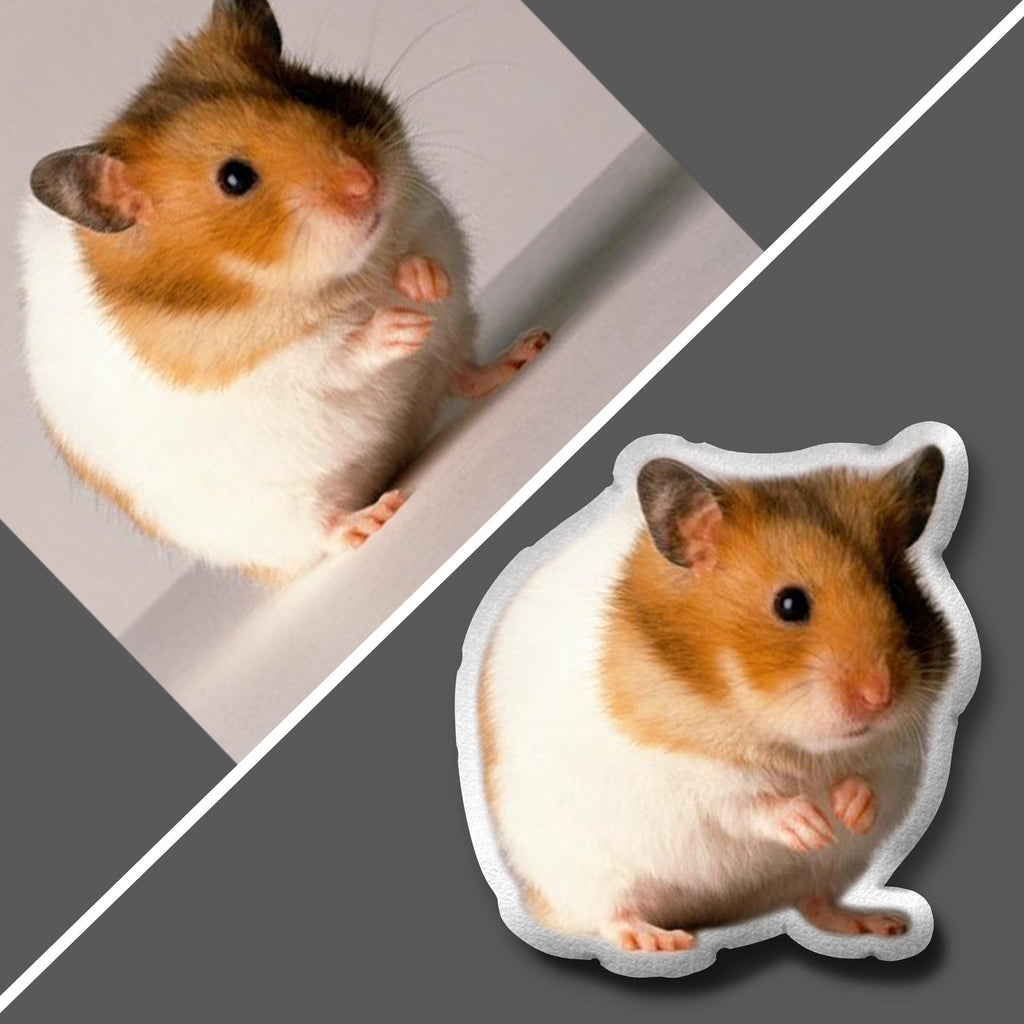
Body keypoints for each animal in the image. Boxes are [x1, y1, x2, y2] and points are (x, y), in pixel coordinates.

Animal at [20, 0, 548, 583]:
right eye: (234, 178)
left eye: (306, 93)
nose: (366, 181)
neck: (313, 283)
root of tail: (393, 457)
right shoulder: (270, 373)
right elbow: (336, 351)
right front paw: (404, 324)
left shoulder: (418, 211)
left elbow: (412, 247)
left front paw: (424, 284)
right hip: (272, 521)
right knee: (322, 534)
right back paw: (374, 515)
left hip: (454, 346)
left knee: (461, 372)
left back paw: (526, 350)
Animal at [480, 446, 953, 952]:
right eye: (790, 604)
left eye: (900, 593)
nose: (881, 696)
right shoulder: (683, 775)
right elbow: (746, 801)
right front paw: (810, 826)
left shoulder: (896, 756)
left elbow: (870, 778)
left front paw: (848, 814)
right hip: (581, 874)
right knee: (610, 915)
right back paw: (662, 941)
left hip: (830, 870)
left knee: (817, 901)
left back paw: (881, 924)